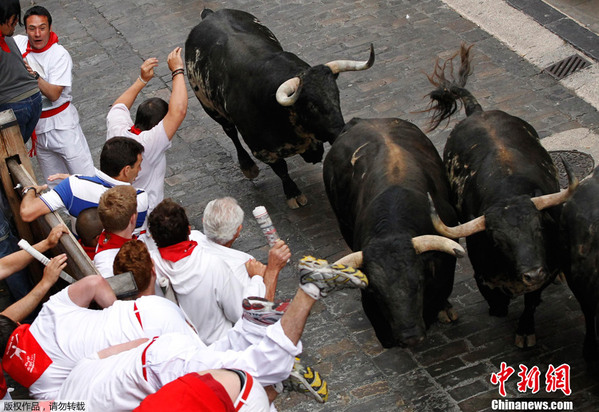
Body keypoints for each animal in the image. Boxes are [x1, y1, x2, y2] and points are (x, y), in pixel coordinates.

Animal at [185, 8, 376, 209]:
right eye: (311, 105)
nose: (342, 131)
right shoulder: (262, 149)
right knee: (231, 133)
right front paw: (293, 193)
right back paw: (248, 167)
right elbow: (281, 169)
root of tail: (209, 14)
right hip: (211, 109)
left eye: (336, 94)